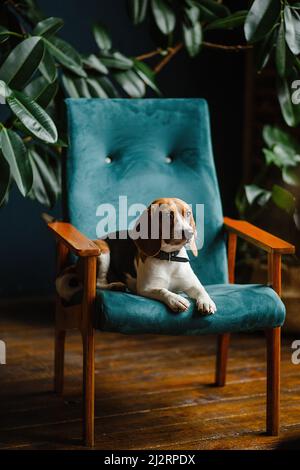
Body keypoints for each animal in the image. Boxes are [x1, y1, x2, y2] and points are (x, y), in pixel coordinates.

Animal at [55, 196, 216, 314]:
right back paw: (115, 286)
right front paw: (175, 299)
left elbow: (201, 289)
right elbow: (162, 290)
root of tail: (76, 265)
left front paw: (206, 301)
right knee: (98, 284)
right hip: (103, 249)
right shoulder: (145, 289)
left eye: (187, 213)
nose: (189, 232)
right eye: (167, 216)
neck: (169, 258)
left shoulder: (192, 284)